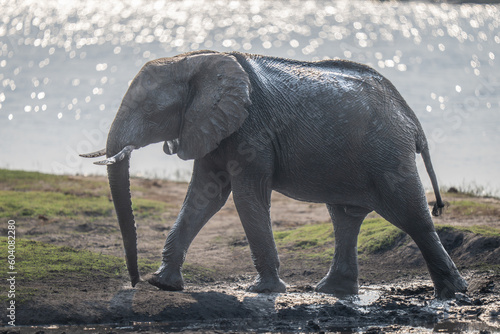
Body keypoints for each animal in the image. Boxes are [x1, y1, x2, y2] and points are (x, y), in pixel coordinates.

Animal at [82, 50, 468, 300]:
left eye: (150, 110)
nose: (134, 282)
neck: (196, 59)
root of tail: (411, 117)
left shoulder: (252, 131)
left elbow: (244, 195)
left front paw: (263, 290)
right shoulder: (211, 125)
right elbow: (205, 195)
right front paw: (164, 284)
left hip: (388, 154)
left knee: (411, 216)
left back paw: (452, 294)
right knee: (345, 217)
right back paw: (332, 291)